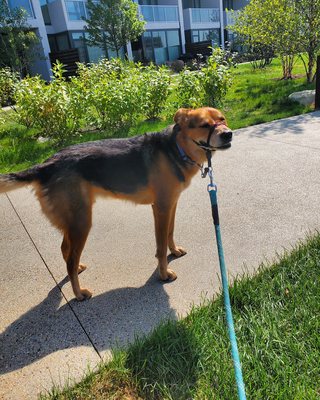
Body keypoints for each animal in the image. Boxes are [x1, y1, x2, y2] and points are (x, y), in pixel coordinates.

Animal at [0, 106, 232, 300]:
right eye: (204, 125)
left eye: (222, 118)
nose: (228, 133)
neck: (177, 148)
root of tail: (46, 165)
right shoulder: (161, 208)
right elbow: (159, 246)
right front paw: (164, 274)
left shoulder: (170, 205)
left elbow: (169, 233)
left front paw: (173, 251)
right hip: (81, 222)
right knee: (69, 261)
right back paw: (79, 293)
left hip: (73, 221)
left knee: (66, 250)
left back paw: (78, 270)